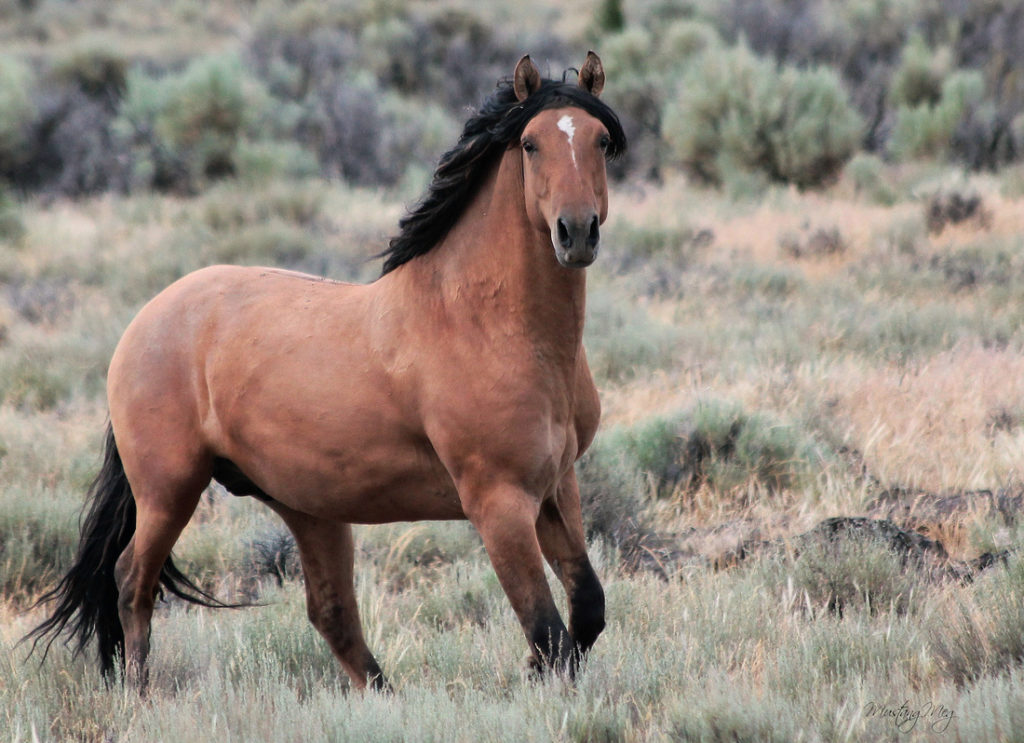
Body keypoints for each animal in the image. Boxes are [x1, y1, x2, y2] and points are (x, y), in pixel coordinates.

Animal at [28, 52, 626, 691]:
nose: (576, 232)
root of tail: (144, 322)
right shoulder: (499, 501)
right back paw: (138, 694)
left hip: (306, 508)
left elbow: (586, 609)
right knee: (131, 583)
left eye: (601, 140)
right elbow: (548, 631)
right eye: (531, 144)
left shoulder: (556, 488)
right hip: (168, 490)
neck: (486, 324)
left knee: (331, 613)